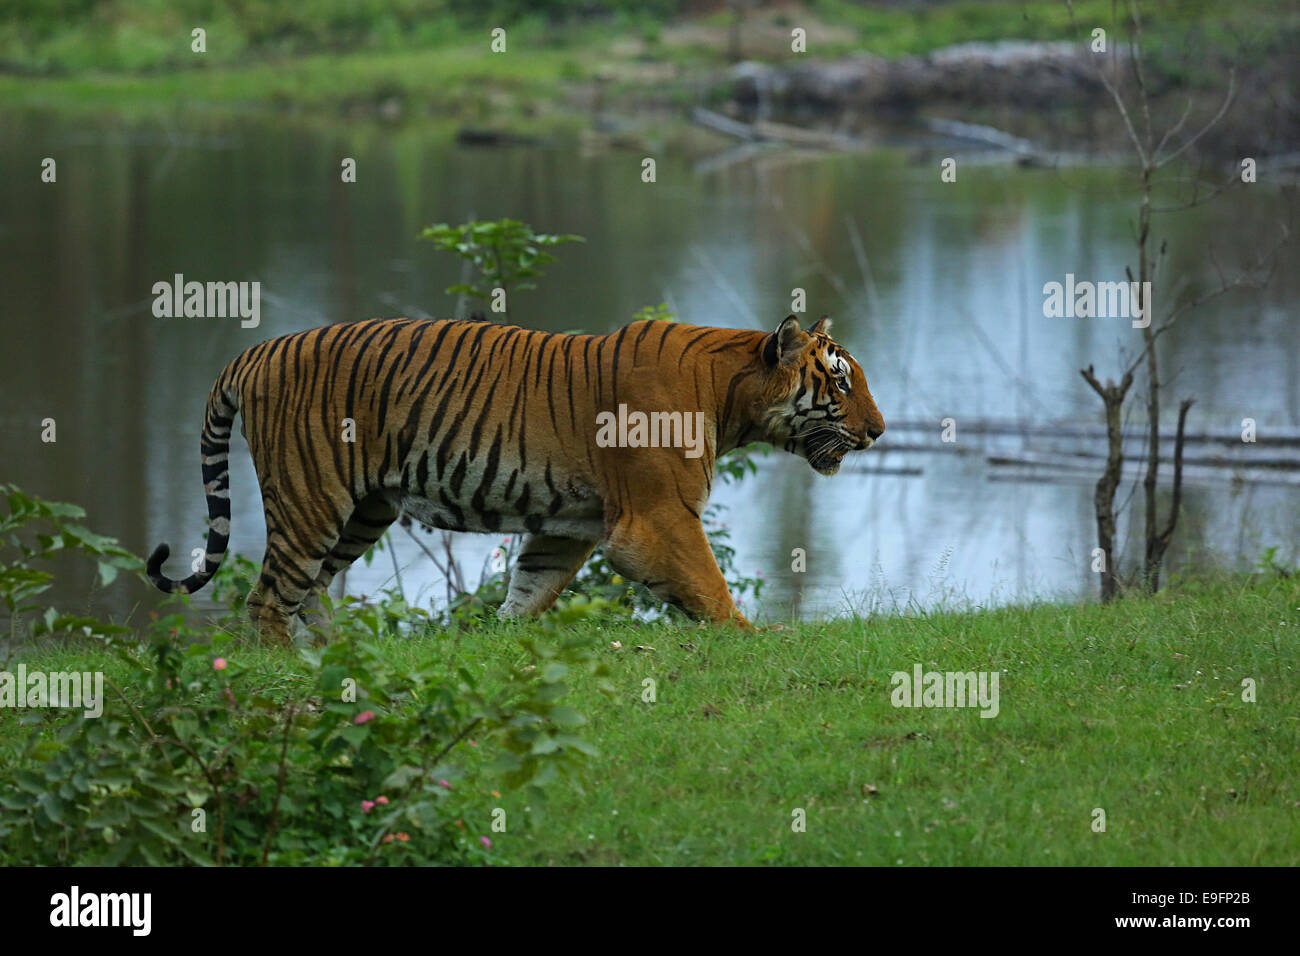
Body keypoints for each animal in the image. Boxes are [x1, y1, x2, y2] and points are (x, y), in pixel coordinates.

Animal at [149, 314, 883, 642]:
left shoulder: (571, 527)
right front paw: (755, 637)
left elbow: (531, 589)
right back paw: (290, 666)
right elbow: (709, 586)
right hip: (311, 496)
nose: (878, 430)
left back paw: (336, 656)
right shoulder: (658, 517)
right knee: (270, 597)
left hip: (362, 510)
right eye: (841, 383)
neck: (732, 397)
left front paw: (502, 643)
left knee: (311, 590)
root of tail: (255, 350)